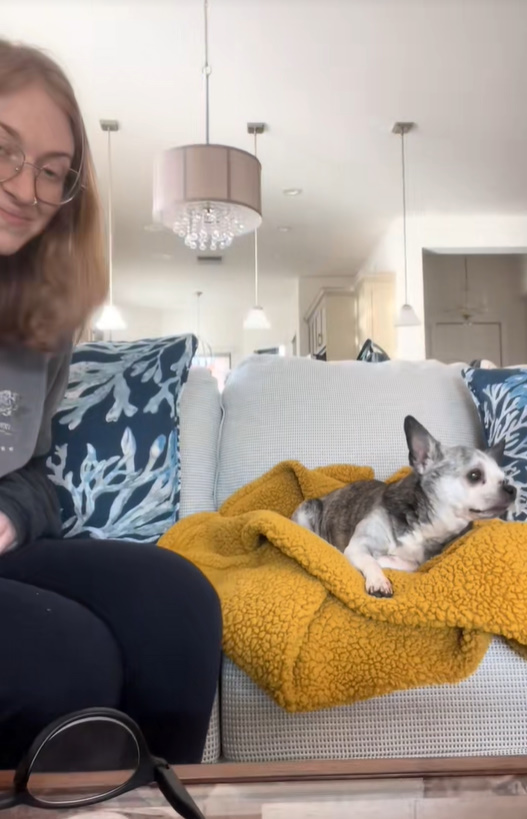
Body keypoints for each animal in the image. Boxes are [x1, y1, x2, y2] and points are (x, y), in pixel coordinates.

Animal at [290, 420, 516, 600]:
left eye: (504, 479)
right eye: (475, 475)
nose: (512, 489)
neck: (423, 524)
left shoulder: (419, 560)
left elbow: (409, 563)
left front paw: (385, 560)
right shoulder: (357, 546)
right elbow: (369, 559)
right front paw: (379, 581)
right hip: (307, 511)